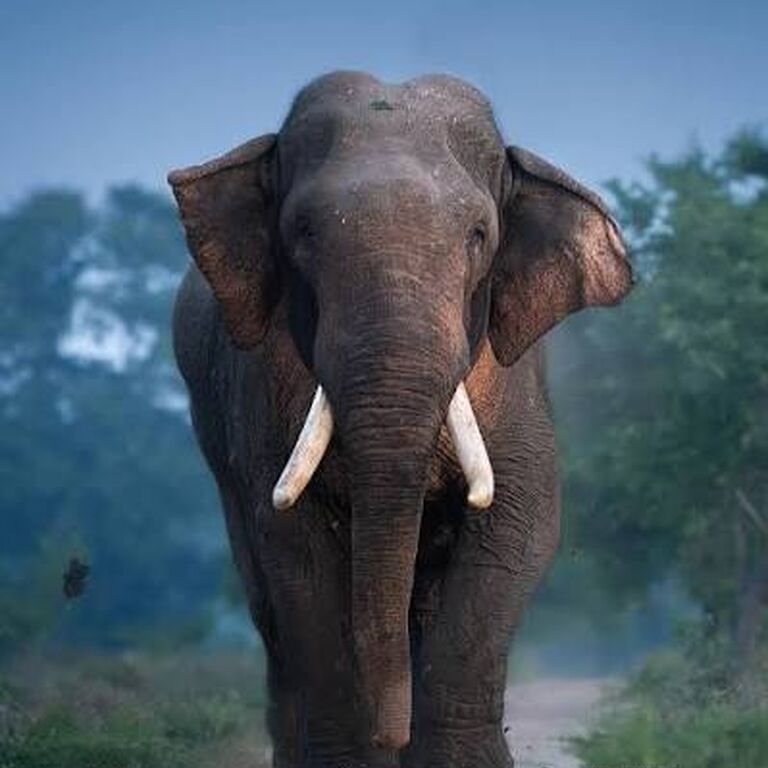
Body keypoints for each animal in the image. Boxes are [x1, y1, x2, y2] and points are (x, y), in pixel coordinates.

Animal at [169, 71, 633, 768]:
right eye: (303, 232)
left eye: (478, 235)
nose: (393, 734)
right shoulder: (262, 386)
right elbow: (294, 548)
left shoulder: (514, 385)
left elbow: (520, 525)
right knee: (267, 602)